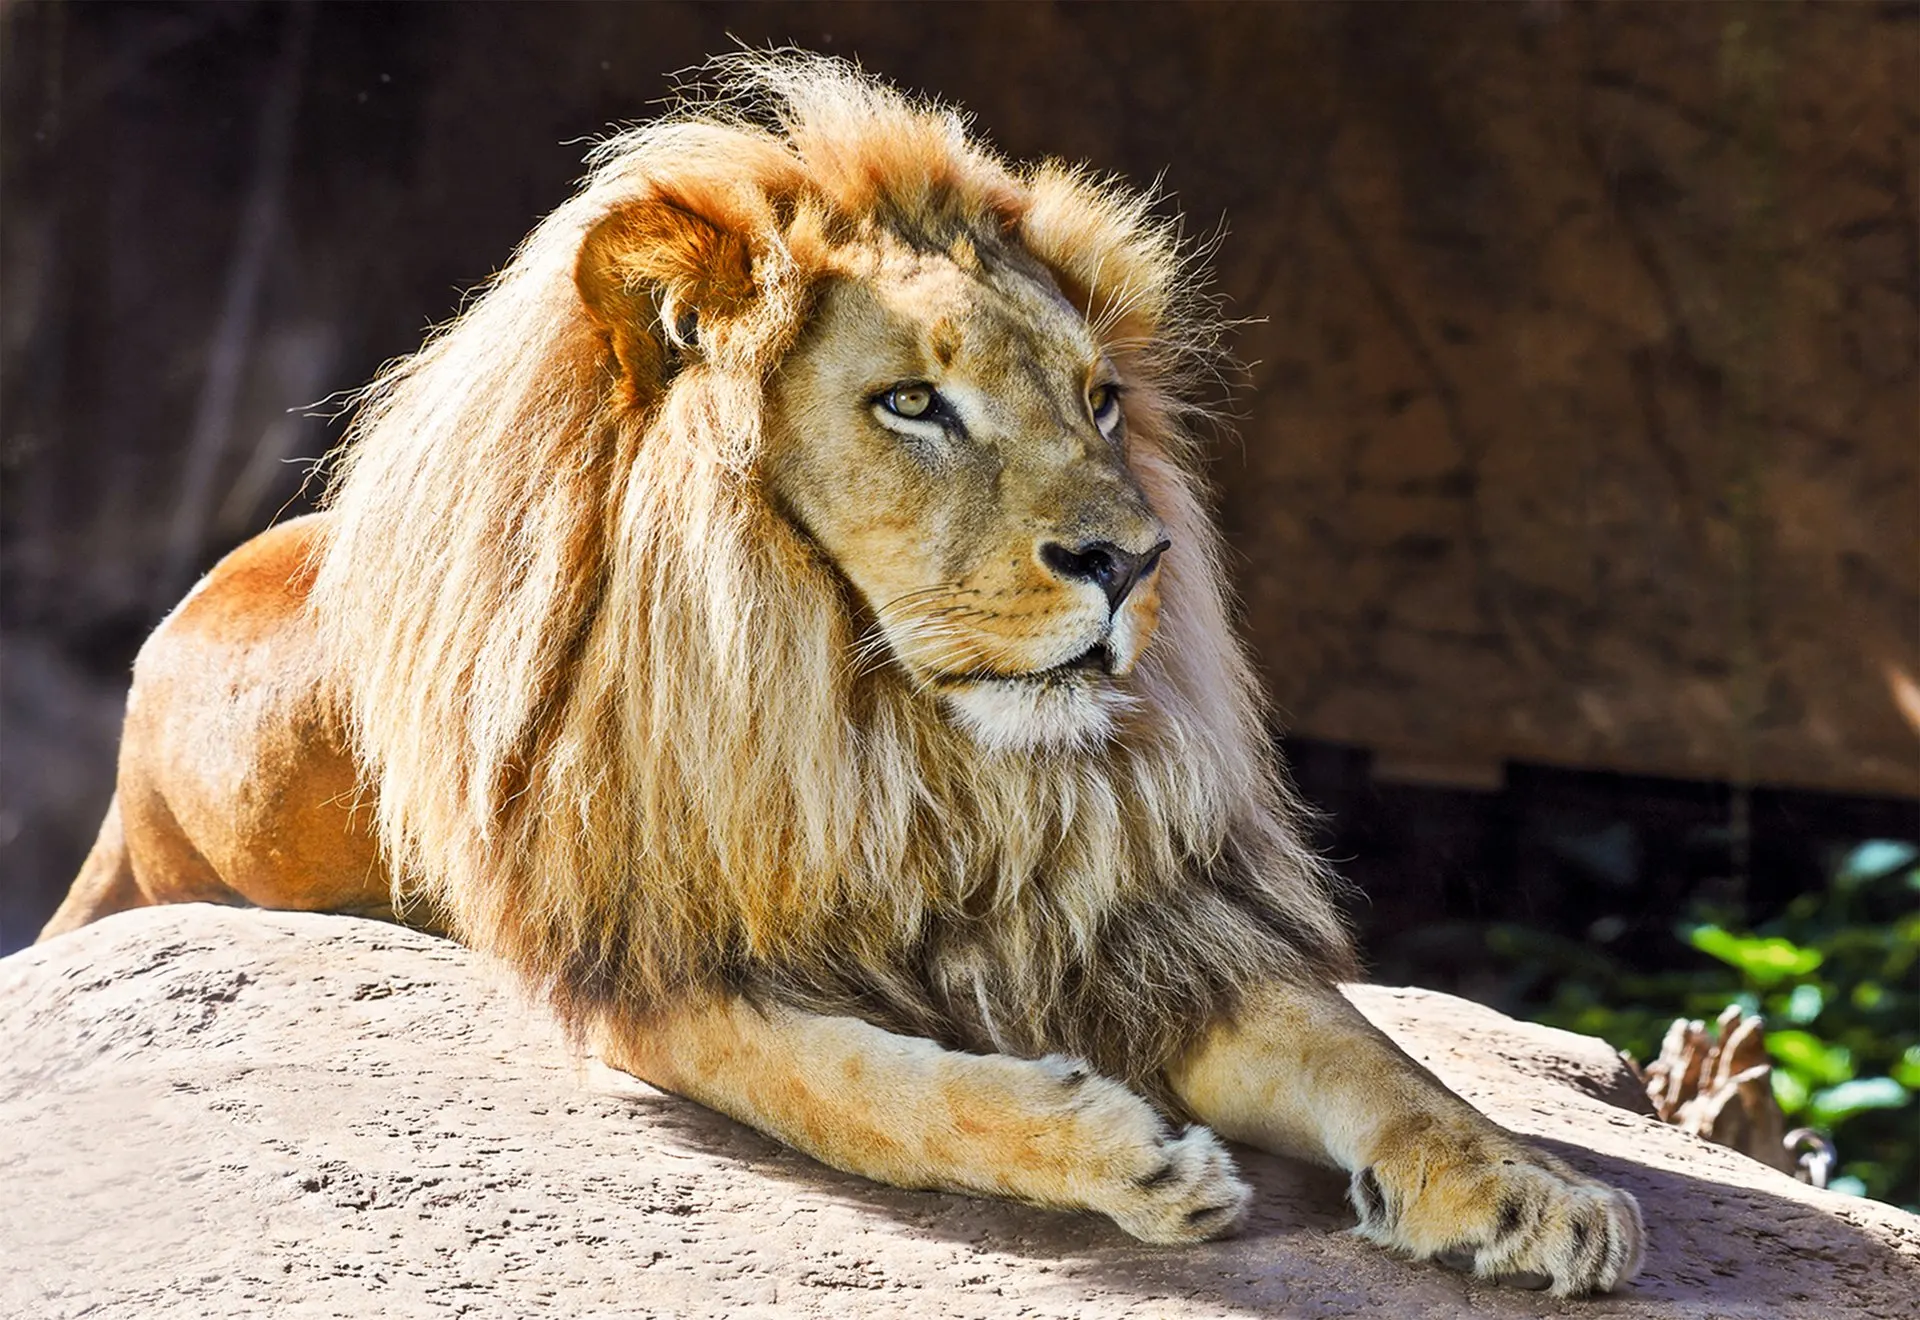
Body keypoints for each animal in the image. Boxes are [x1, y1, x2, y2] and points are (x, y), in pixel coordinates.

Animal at [42, 54, 1642, 1294]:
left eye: (1098, 402)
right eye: (915, 404)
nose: (1133, 562)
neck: (893, 739)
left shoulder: (1106, 922)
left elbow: (1371, 1057)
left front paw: (1538, 1189)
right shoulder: (651, 968)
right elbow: (868, 1094)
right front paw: (1123, 1153)